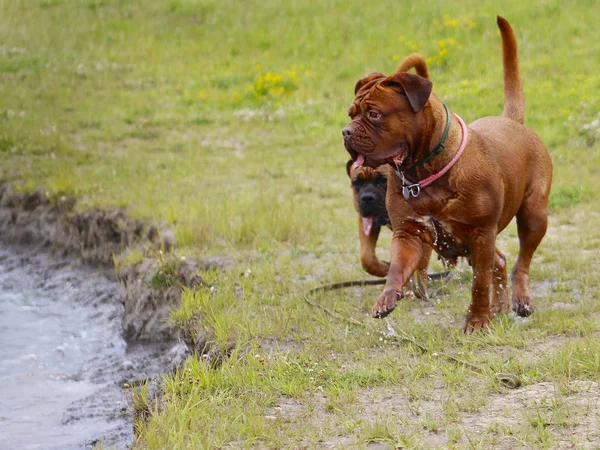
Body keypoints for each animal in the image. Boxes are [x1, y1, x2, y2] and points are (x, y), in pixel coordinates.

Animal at [342, 16, 552, 334]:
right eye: (351, 114)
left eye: (374, 114)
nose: (346, 131)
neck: (424, 172)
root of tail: (511, 121)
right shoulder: (408, 234)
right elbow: (396, 270)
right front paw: (388, 298)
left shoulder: (481, 233)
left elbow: (479, 283)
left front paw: (476, 321)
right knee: (501, 261)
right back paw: (499, 306)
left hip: (533, 216)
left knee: (520, 263)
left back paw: (520, 299)